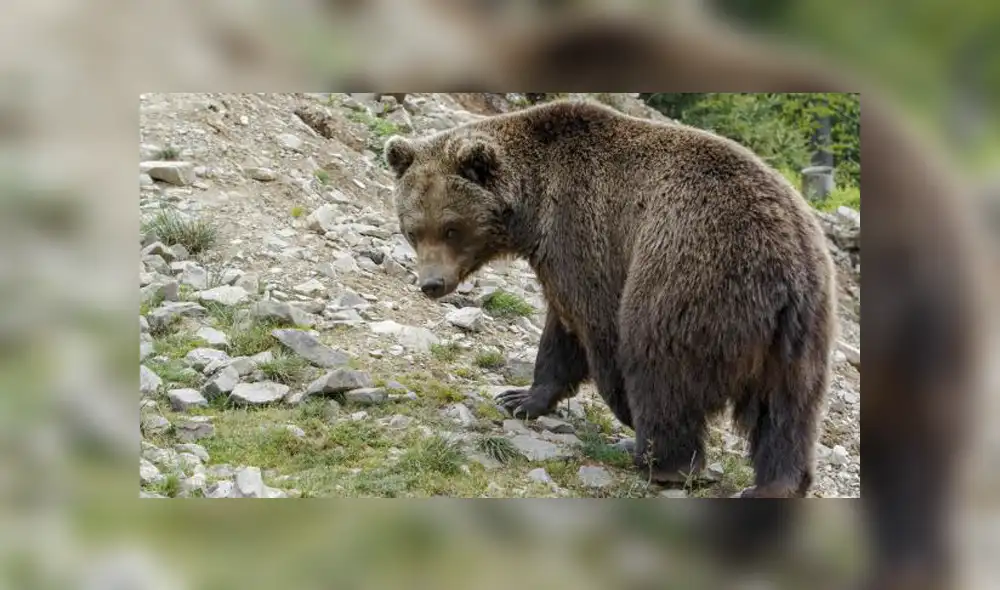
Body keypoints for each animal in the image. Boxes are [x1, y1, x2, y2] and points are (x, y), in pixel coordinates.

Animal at [383, 98, 838, 498]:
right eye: (413, 229)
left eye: (451, 228)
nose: (431, 283)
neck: (532, 206)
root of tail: (787, 259)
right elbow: (560, 332)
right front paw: (520, 398)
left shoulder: (584, 231)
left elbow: (596, 326)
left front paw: (622, 412)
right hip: (801, 328)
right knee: (788, 406)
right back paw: (776, 483)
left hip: (692, 272)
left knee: (658, 362)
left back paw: (660, 461)